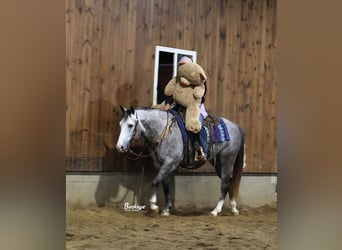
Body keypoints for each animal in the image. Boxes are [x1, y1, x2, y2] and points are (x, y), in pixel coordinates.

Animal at [116, 105, 244, 215]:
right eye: (120, 124)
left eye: (130, 125)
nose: (119, 147)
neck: (163, 130)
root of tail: (235, 126)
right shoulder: (160, 164)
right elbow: (165, 185)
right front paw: (166, 209)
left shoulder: (171, 162)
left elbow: (155, 181)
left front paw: (153, 206)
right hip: (218, 163)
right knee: (230, 182)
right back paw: (233, 208)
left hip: (226, 161)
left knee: (225, 185)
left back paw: (215, 211)